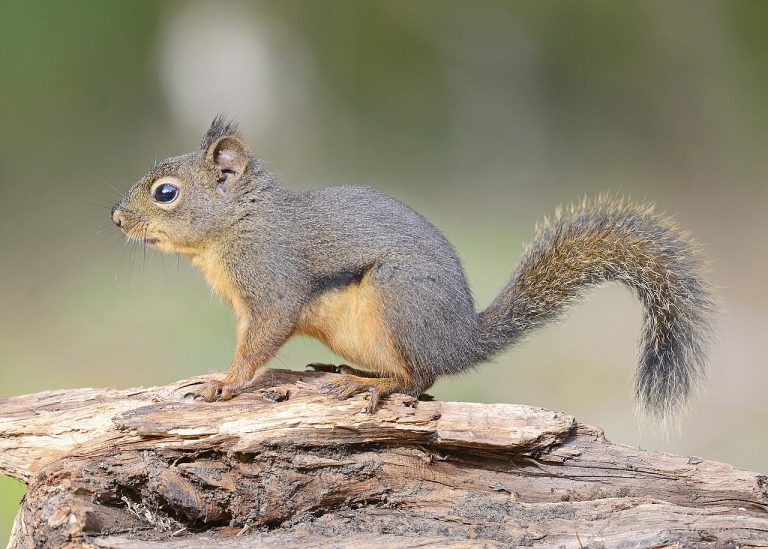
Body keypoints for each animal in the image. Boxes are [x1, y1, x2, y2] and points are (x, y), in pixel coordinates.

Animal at [111, 113, 712, 418]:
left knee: (420, 379)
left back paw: (377, 387)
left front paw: (225, 385)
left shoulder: (272, 281)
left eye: (166, 193)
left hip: (397, 299)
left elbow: (261, 339)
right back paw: (353, 374)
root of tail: (459, 341)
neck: (237, 224)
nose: (116, 218)